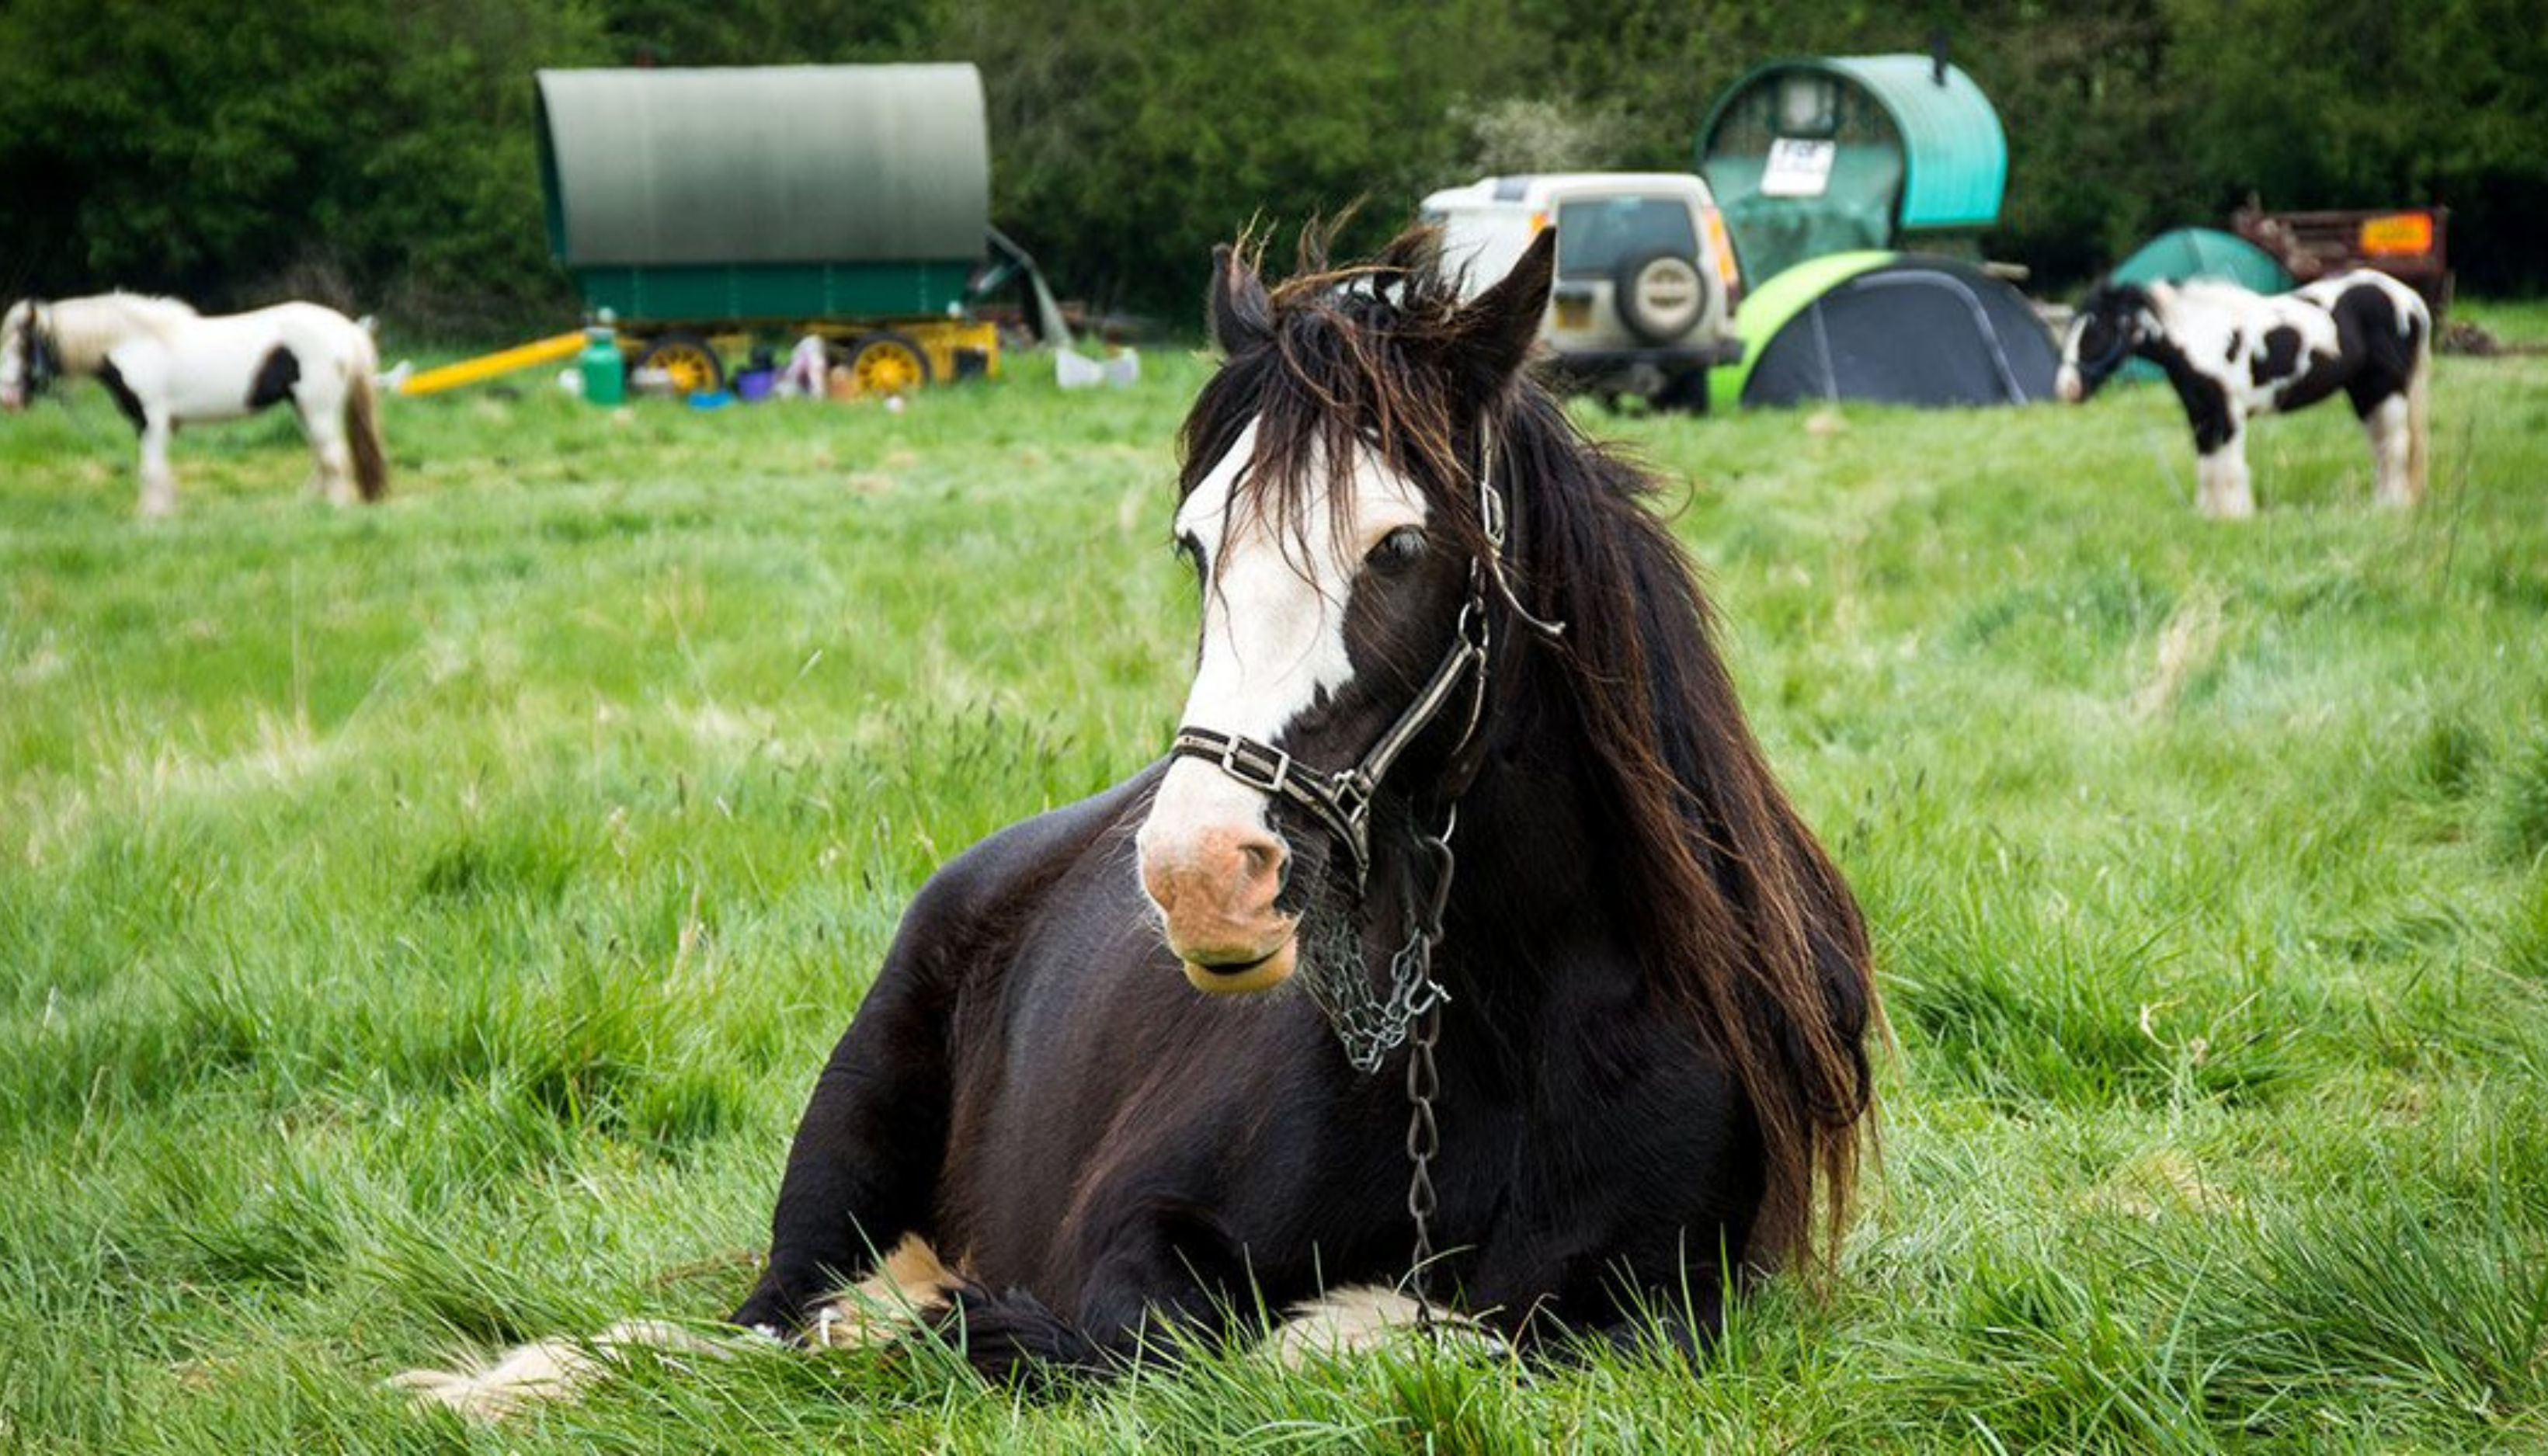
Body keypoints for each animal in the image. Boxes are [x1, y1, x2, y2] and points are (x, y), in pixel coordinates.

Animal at [0, 293, 388, 515]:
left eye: (23, 344)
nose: (9, 399)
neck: (135, 343)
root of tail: (348, 330)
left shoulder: (153, 421)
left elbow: (151, 472)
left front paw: (150, 521)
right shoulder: (155, 425)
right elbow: (161, 474)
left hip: (316, 408)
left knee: (334, 459)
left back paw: (335, 510)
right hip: (303, 409)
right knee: (322, 460)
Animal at [400, 228, 1879, 1416]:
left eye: (1401, 545)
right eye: (1195, 543)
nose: (1197, 874)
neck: (1518, 1019)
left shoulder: (1676, 1306)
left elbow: (1442, 1334)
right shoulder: (1127, 1241)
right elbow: (1172, 1340)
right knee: (763, 1324)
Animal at [2055, 271, 2430, 518]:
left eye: (2095, 333)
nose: (2066, 389)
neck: (2201, 337)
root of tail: (2410, 299)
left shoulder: (2228, 413)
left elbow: (2230, 468)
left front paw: (2236, 516)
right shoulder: (2201, 413)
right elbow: (2208, 466)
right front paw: (2209, 516)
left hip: (2387, 389)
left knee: (2395, 446)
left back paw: (2392, 507)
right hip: (2365, 394)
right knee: (2382, 448)